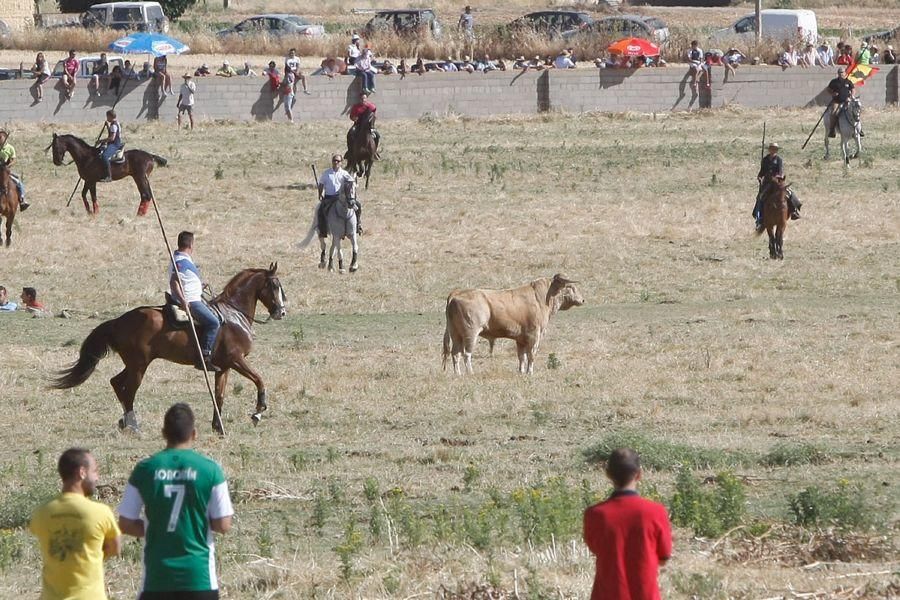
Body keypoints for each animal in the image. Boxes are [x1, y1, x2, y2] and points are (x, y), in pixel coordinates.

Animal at [50, 264, 288, 434]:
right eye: (275, 285)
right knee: (129, 391)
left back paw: (125, 422)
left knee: (116, 383)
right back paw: (133, 426)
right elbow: (259, 380)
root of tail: (118, 321)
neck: (233, 315)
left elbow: (219, 395)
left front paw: (218, 427)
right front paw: (258, 412)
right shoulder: (236, 360)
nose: (281, 312)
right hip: (139, 366)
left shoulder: (224, 367)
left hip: (134, 364)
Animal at [442, 274, 584, 376]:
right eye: (571, 287)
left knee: (455, 354)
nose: (582, 300)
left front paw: (521, 372)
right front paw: (530, 372)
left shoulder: (520, 339)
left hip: (456, 335)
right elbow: (531, 355)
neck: (541, 298)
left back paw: (458, 374)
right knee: (466, 354)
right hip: (470, 334)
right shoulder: (534, 336)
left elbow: (521, 357)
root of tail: (456, 293)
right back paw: (470, 373)